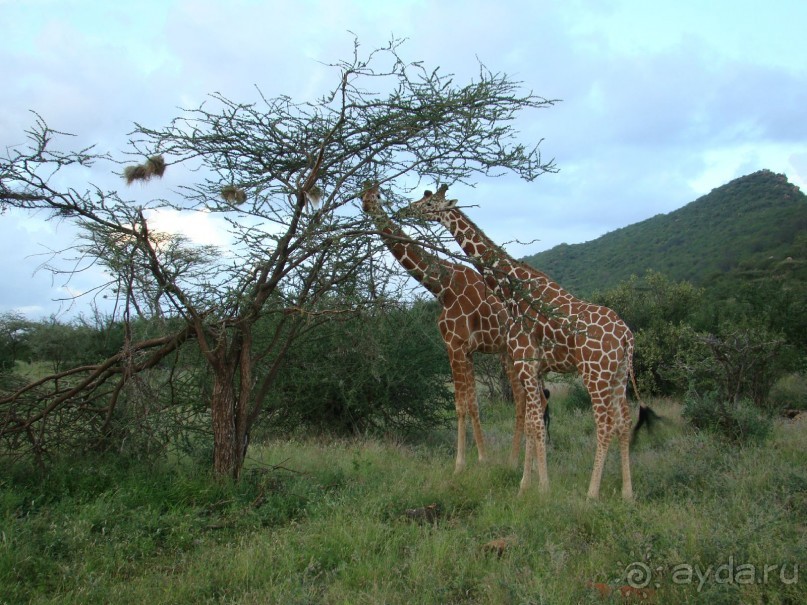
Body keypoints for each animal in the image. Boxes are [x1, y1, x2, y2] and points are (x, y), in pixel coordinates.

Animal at [362, 184, 532, 472]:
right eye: (362, 194)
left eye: (376, 195)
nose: (365, 206)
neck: (442, 286)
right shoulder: (465, 350)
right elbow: (473, 403)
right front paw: (483, 458)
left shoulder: (456, 345)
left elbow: (460, 405)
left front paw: (460, 464)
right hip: (507, 353)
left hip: (517, 353)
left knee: (523, 399)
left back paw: (515, 462)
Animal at [416, 186, 636, 498]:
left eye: (430, 203)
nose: (408, 209)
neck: (512, 290)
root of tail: (627, 337)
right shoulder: (532, 367)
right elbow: (534, 421)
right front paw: (527, 484)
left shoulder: (526, 363)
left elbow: (534, 422)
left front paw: (540, 487)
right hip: (619, 376)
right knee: (624, 422)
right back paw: (627, 493)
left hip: (596, 375)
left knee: (604, 424)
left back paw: (591, 493)